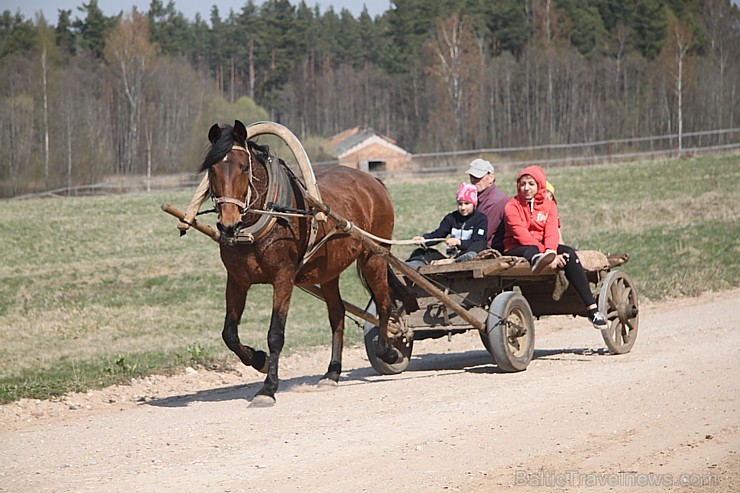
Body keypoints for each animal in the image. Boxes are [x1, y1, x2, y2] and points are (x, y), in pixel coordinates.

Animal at [198, 121, 404, 406]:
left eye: (243, 167)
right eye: (212, 168)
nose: (228, 224)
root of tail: (373, 182)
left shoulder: (283, 278)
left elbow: (275, 334)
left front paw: (268, 388)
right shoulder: (238, 280)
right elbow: (229, 333)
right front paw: (259, 360)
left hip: (374, 256)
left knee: (385, 304)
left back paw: (389, 350)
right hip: (329, 272)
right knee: (337, 315)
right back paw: (332, 372)